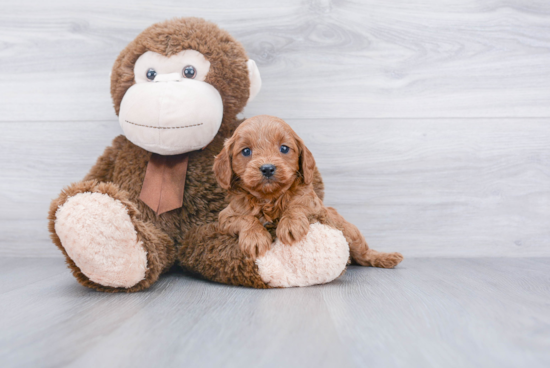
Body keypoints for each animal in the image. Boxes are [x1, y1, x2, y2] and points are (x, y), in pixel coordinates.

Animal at [213, 113, 404, 268]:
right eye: (246, 151)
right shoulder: (225, 217)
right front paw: (255, 238)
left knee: (364, 254)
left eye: (284, 148)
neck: (270, 199)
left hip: (350, 231)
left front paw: (290, 225)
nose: (267, 168)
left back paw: (386, 258)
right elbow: (245, 218)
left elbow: (297, 205)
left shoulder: (314, 204)